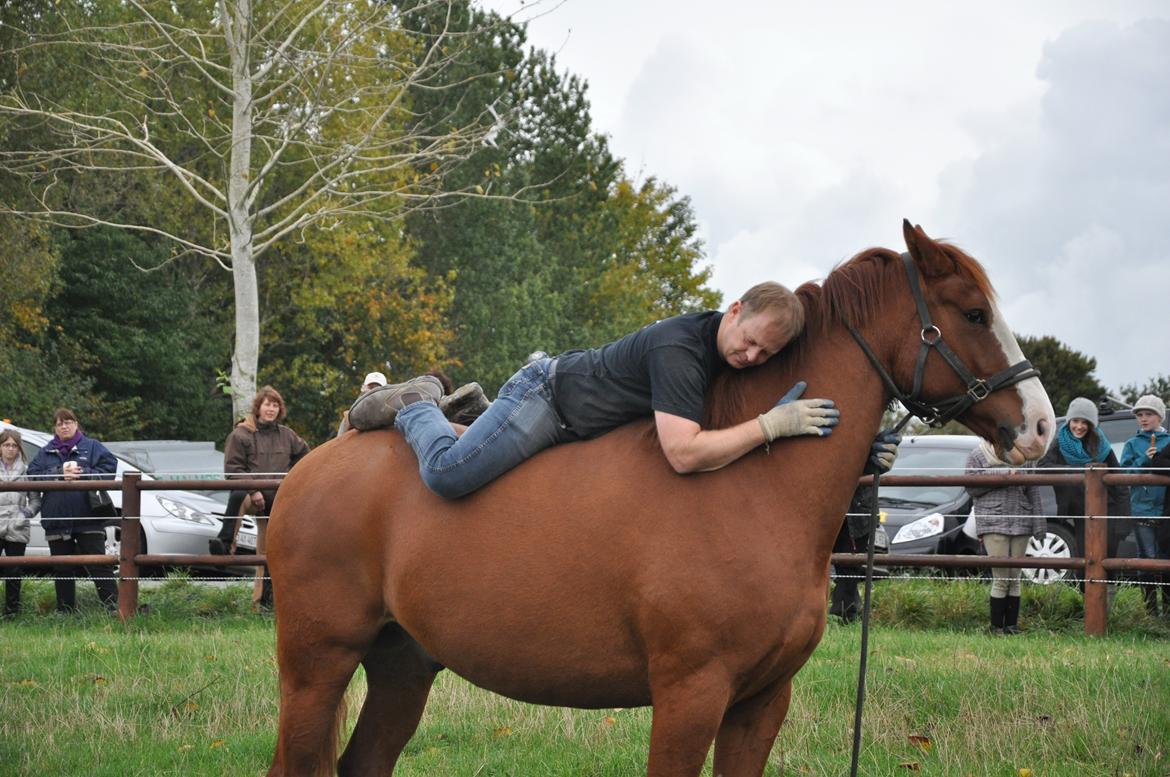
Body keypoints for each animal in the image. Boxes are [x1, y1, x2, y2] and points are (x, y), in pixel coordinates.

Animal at [265, 218, 1053, 777]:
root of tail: (311, 468)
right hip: (317, 663)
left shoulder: (761, 702)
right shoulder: (690, 694)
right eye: (973, 313)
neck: (751, 490)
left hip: (402, 665)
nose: (1041, 426)